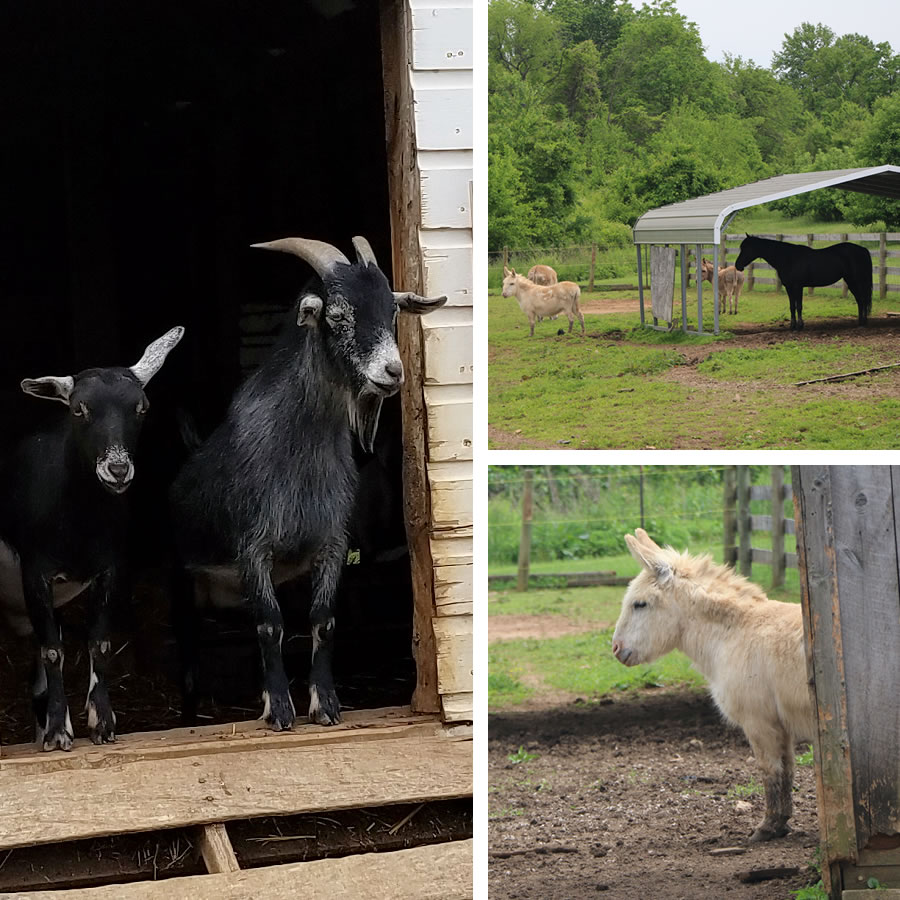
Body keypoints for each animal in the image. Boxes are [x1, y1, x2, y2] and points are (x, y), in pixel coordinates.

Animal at [0, 326, 184, 748]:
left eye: (141, 407)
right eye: (79, 409)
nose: (117, 470)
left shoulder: (109, 568)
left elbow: (98, 643)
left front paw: (102, 722)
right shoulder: (36, 571)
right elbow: (53, 651)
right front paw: (56, 732)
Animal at [170, 237, 446, 732]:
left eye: (391, 311)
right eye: (337, 315)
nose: (393, 372)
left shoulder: (332, 544)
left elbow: (322, 621)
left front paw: (326, 704)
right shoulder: (253, 547)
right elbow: (270, 625)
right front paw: (279, 709)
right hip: (184, 577)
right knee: (189, 651)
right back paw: (188, 717)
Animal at [732, 236, 872, 330]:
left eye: (747, 248)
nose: (737, 265)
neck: (788, 258)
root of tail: (862, 249)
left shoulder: (798, 286)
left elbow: (799, 306)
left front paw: (800, 326)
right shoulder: (789, 287)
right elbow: (792, 307)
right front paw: (792, 326)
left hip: (856, 280)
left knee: (862, 299)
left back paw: (863, 322)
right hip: (851, 281)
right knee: (860, 300)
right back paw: (861, 322)